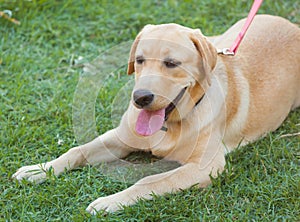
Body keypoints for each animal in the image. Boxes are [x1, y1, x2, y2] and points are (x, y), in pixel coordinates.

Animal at [12, 14, 298, 215]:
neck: (168, 126)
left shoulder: (206, 167)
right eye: (139, 60)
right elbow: (76, 151)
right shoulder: (120, 137)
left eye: (171, 64)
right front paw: (40, 169)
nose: (140, 98)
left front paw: (110, 201)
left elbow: (148, 181)